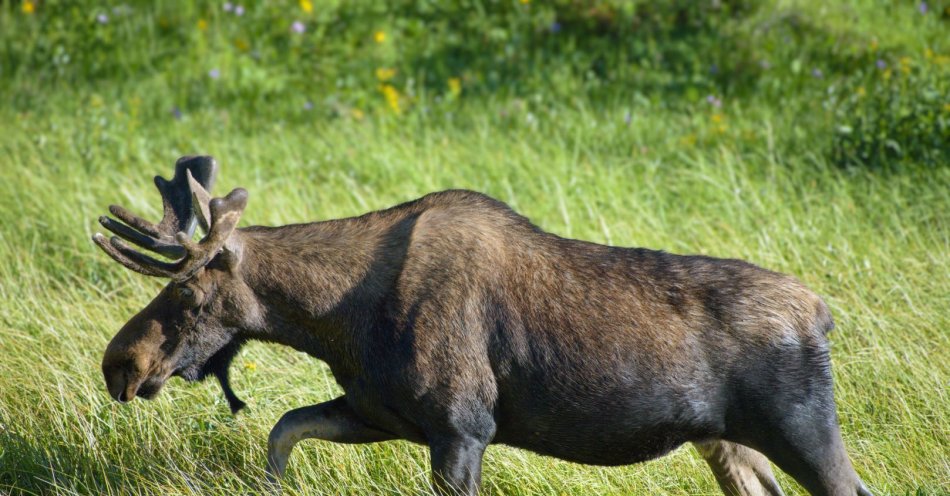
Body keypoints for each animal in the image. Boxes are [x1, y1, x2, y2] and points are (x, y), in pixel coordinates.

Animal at [93, 157, 872, 494]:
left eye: (189, 291)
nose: (119, 364)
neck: (336, 319)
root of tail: (823, 314)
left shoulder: (462, 425)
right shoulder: (381, 411)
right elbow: (283, 432)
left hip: (802, 430)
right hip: (728, 442)